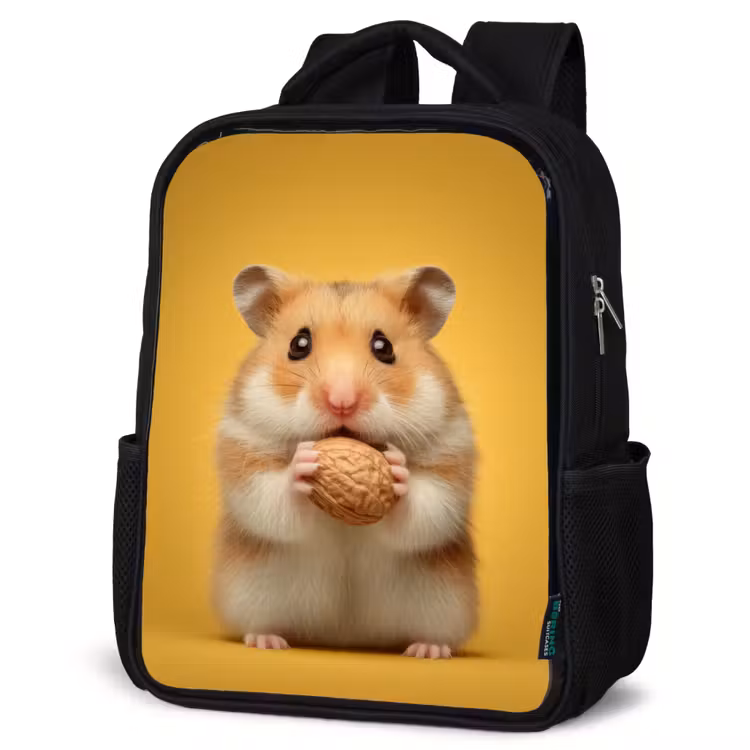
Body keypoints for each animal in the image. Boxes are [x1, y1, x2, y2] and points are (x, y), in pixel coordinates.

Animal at [212, 265, 477, 659]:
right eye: (298, 344)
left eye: (384, 347)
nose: (342, 402)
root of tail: (345, 638)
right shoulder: (243, 450)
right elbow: (268, 498)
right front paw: (303, 464)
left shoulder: (451, 455)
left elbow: (428, 508)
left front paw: (397, 470)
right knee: (261, 624)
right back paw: (268, 641)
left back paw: (428, 650)